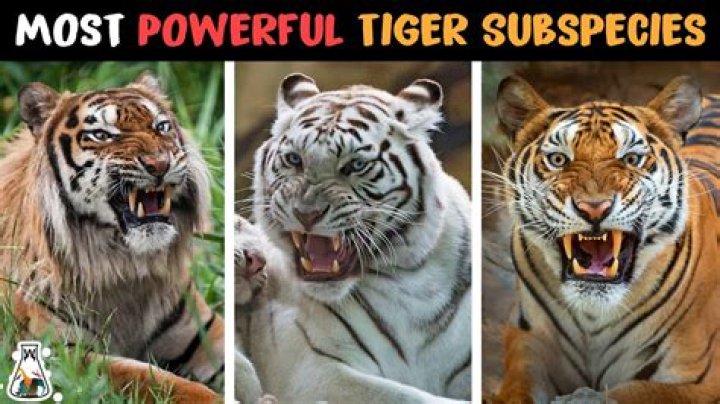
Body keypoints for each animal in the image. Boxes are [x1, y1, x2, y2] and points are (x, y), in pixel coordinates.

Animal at [0, 73, 224, 402]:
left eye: (161, 127)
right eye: (102, 135)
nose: (160, 164)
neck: (126, 269)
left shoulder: (204, 332)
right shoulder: (65, 354)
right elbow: (161, 381)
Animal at [234, 73, 472, 403]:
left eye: (356, 165)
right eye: (294, 159)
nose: (306, 213)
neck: (411, 281)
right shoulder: (314, 371)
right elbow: (408, 396)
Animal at [491, 75, 720, 403]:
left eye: (632, 159)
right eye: (558, 159)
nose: (594, 208)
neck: (593, 317)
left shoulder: (698, 381)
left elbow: (627, 393)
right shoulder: (529, 345)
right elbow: (517, 390)